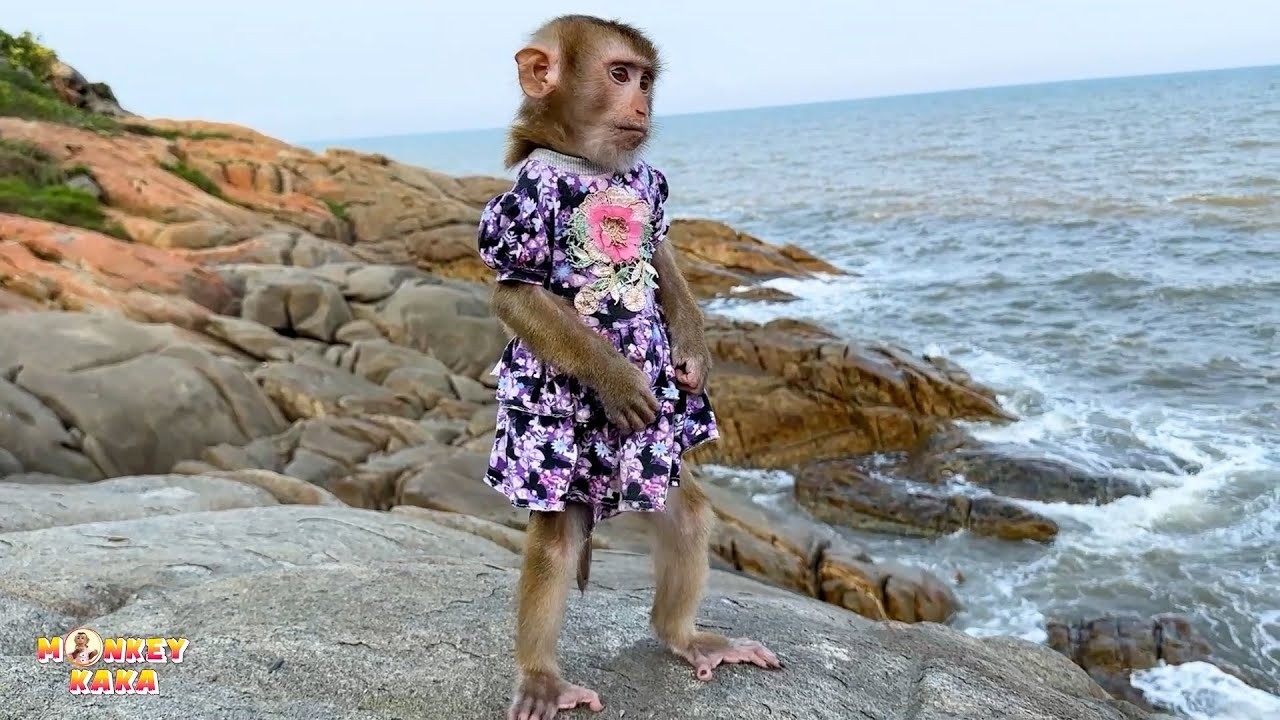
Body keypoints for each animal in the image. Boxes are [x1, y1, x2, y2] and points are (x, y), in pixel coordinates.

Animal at [475, 14, 781, 720]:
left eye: (645, 80)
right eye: (619, 75)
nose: (641, 104)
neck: (590, 164)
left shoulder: (648, 182)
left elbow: (661, 251)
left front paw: (692, 358)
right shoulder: (522, 204)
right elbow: (516, 292)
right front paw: (620, 381)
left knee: (687, 516)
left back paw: (685, 637)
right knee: (555, 546)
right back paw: (542, 678)